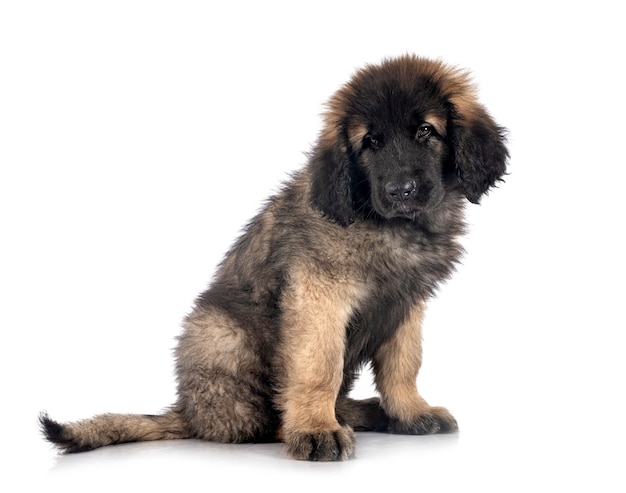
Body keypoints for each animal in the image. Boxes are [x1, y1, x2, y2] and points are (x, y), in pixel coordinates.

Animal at [40, 54, 508, 462]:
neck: (393, 226)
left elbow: (403, 363)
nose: (401, 191)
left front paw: (410, 412)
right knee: (250, 421)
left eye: (426, 131)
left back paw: (363, 412)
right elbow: (319, 366)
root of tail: (187, 412)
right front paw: (316, 429)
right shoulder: (318, 297)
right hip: (220, 330)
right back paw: (313, 422)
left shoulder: (406, 304)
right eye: (370, 142)